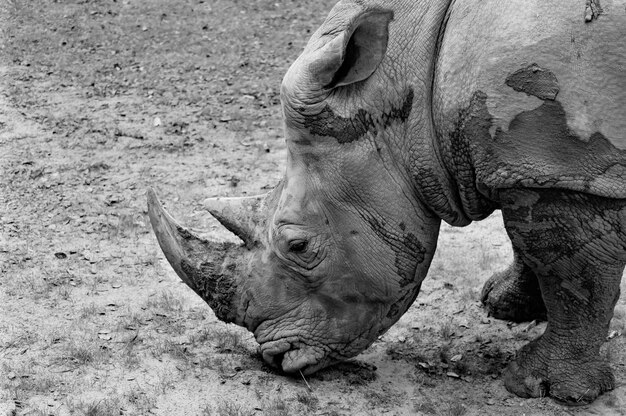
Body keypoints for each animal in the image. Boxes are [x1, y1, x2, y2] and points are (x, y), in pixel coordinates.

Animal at [147, 0, 624, 404]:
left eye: (298, 246)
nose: (276, 361)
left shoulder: (559, 167)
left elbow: (570, 274)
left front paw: (540, 388)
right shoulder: (526, 164)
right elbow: (530, 246)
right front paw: (502, 305)